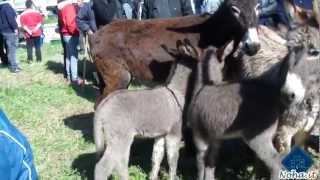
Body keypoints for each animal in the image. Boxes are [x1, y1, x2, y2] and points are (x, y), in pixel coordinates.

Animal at [89, 0, 260, 104]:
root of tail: (97, 34)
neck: (211, 29)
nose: (253, 46)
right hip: (118, 75)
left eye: (258, 6)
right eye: (234, 9)